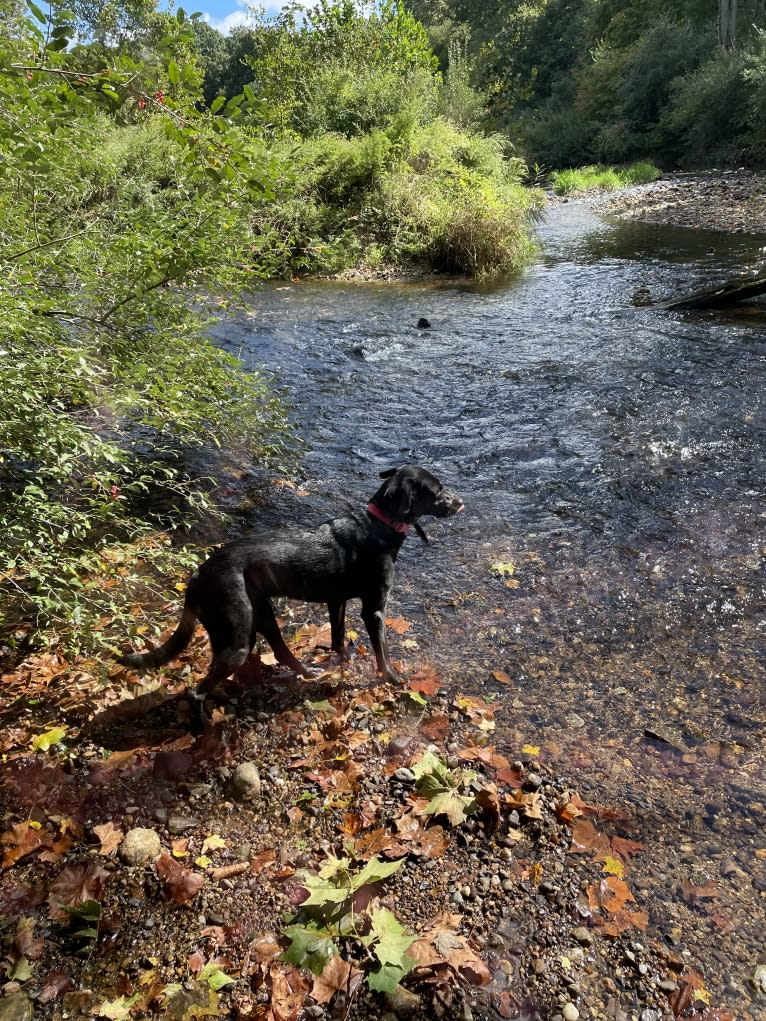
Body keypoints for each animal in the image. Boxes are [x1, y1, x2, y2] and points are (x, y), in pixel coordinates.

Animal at [115, 467, 461, 722]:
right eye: (437, 490)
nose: (460, 503)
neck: (378, 525)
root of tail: (197, 577)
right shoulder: (373, 609)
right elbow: (382, 652)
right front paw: (392, 678)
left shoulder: (337, 602)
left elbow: (338, 639)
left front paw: (342, 662)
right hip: (238, 638)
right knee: (195, 692)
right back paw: (205, 727)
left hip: (260, 613)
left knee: (281, 652)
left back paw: (309, 673)